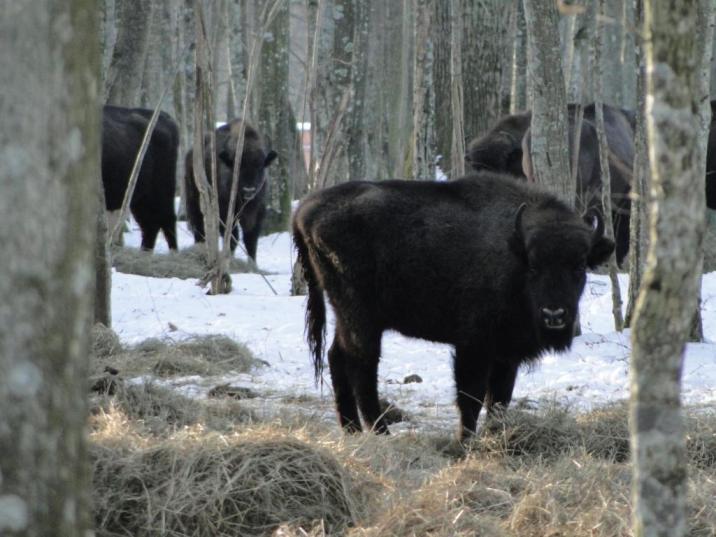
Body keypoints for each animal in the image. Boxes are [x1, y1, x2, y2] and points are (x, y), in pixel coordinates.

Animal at [185, 119, 276, 262]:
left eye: (260, 167)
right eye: (238, 168)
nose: (249, 190)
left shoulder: (257, 211)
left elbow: (251, 239)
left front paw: (252, 263)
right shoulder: (225, 211)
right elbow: (233, 237)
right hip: (194, 202)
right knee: (199, 229)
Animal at [294, 174, 612, 438]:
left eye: (579, 266)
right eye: (533, 267)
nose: (554, 314)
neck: (514, 251)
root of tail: (304, 211)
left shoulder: (506, 354)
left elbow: (499, 399)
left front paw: (495, 436)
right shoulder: (474, 347)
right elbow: (470, 396)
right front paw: (466, 440)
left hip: (346, 315)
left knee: (337, 357)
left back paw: (352, 430)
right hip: (361, 318)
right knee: (362, 365)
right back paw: (380, 432)